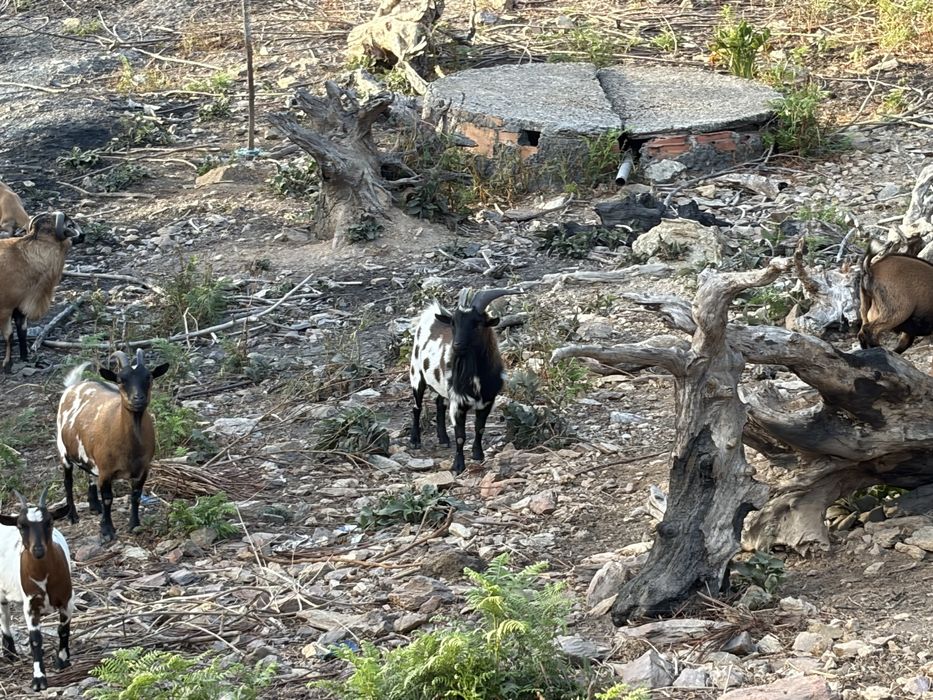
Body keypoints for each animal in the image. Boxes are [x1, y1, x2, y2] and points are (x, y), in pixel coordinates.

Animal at [0, 212, 83, 373]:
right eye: (70, 225)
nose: (83, 235)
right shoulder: (5, 308)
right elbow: (9, 335)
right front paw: (7, 364)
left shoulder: (21, 305)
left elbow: (22, 329)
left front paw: (24, 357)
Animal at [0, 488, 75, 692]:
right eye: (21, 525)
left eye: (49, 522)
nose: (38, 550)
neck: (44, 577)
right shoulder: (31, 605)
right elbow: (35, 639)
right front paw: (39, 679)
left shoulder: (67, 600)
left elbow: (63, 629)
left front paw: (62, 661)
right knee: (4, 617)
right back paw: (10, 653)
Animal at [57, 350, 169, 543]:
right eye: (120, 380)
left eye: (149, 377)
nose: (138, 398)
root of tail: (73, 386)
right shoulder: (106, 471)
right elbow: (108, 499)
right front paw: (107, 530)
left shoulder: (143, 469)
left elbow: (136, 496)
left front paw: (134, 524)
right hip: (63, 450)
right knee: (68, 482)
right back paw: (73, 516)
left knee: (89, 474)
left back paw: (94, 506)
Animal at [409, 287, 522, 474]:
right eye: (453, 323)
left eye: (477, 323)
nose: (457, 346)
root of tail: (430, 313)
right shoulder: (458, 403)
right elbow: (460, 436)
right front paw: (458, 466)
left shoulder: (487, 401)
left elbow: (480, 428)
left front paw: (478, 455)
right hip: (416, 374)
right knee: (416, 407)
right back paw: (414, 440)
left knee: (439, 403)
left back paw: (443, 438)